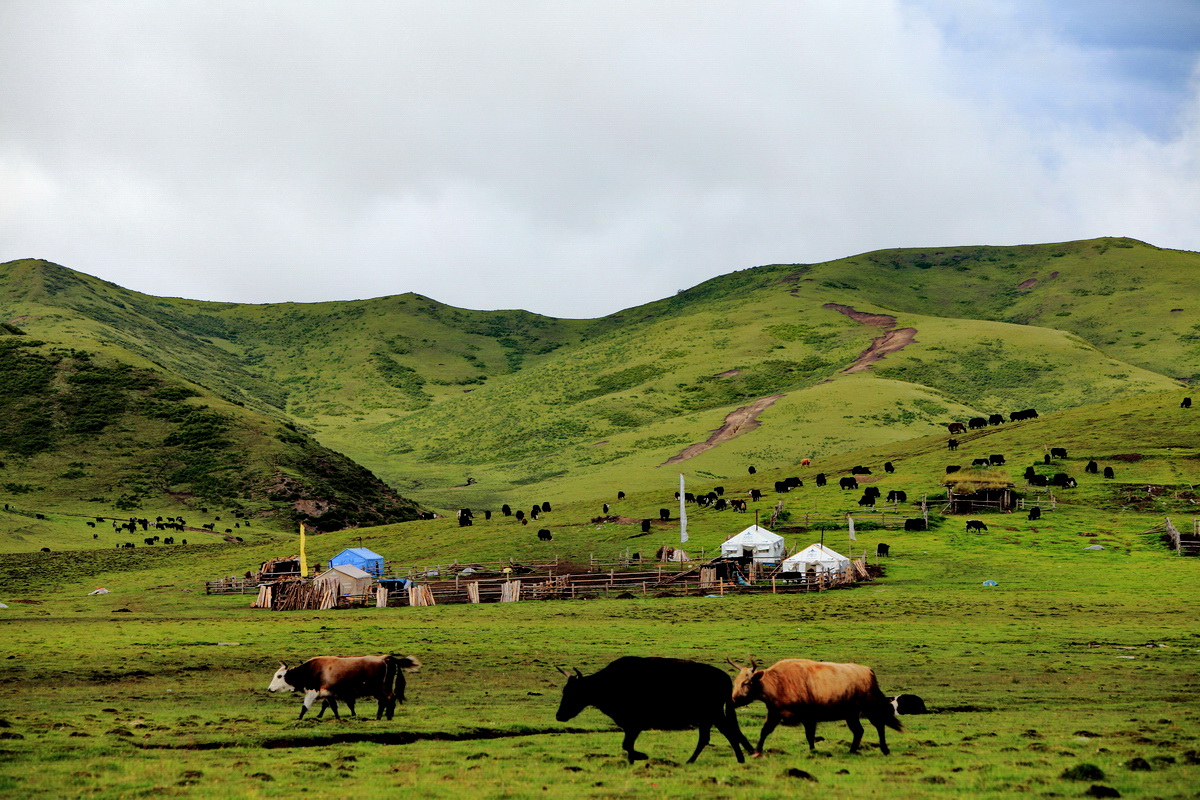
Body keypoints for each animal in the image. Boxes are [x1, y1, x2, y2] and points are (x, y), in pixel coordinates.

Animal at [267, 657, 422, 719]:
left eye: (279, 675)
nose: (269, 689)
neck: (310, 671)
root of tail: (386, 658)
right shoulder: (328, 694)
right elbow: (332, 707)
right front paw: (336, 717)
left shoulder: (312, 692)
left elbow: (305, 707)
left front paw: (298, 718)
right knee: (386, 701)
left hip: (380, 689)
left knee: (388, 700)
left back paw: (385, 716)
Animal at [554, 662, 748, 767]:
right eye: (564, 690)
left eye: (573, 692)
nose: (559, 715)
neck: (608, 683)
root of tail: (724, 678)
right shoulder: (629, 726)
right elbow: (627, 745)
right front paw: (632, 761)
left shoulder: (633, 725)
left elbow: (627, 745)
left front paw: (641, 756)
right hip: (708, 718)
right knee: (709, 737)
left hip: (713, 715)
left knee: (728, 733)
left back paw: (740, 759)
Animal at [724, 657, 902, 758]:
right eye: (736, 681)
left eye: (746, 682)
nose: (732, 700)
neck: (777, 682)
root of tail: (868, 670)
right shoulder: (774, 713)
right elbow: (764, 731)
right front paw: (756, 750)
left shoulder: (808, 716)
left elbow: (810, 735)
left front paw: (812, 750)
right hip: (851, 713)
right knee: (859, 730)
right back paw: (852, 750)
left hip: (869, 708)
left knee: (879, 724)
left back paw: (884, 749)